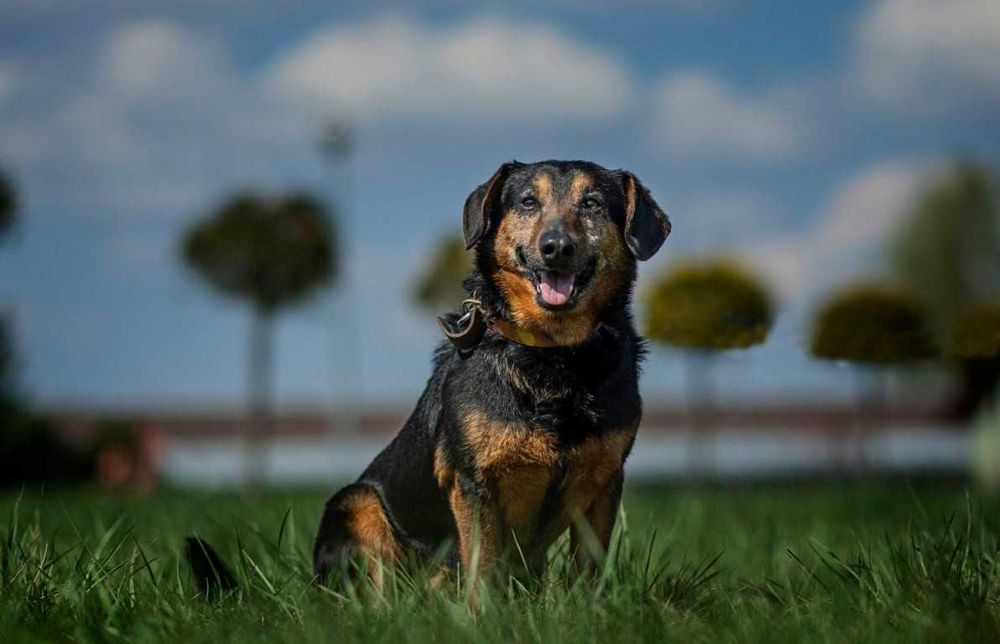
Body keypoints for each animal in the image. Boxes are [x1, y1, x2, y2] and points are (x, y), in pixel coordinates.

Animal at [312, 158, 672, 588]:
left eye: (593, 204)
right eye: (528, 201)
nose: (556, 247)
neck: (551, 352)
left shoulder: (604, 480)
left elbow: (587, 573)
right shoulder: (475, 482)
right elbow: (481, 568)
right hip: (357, 503)